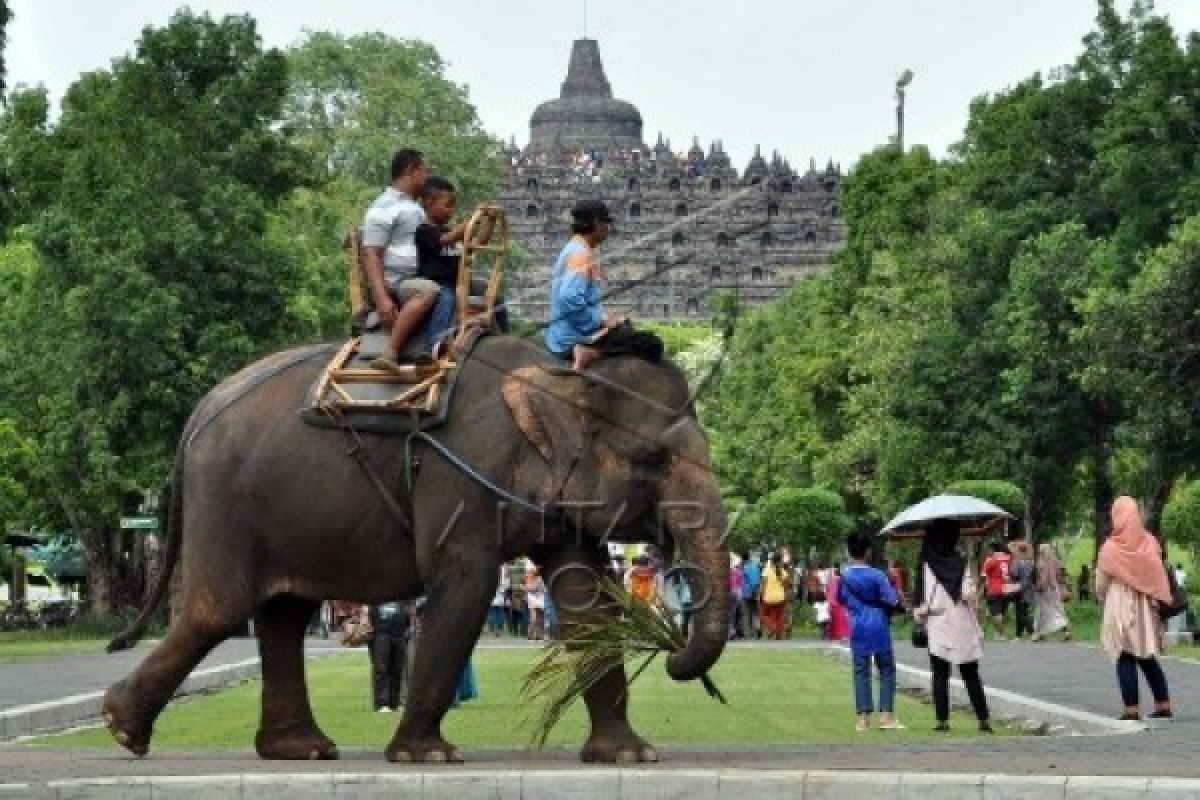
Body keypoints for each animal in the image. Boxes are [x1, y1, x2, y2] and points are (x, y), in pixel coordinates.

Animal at [108, 335, 729, 767]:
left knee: (284, 614)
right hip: (226, 501)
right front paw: (428, 756)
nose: (674, 654)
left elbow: (585, 598)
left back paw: (300, 749)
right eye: (653, 460)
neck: (555, 374)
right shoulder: (459, 475)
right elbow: (468, 584)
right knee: (219, 610)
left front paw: (630, 755)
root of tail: (200, 412)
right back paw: (122, 727)